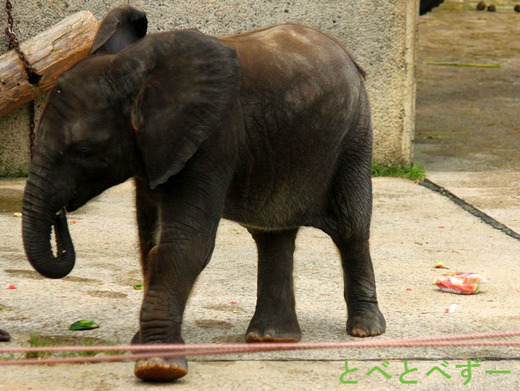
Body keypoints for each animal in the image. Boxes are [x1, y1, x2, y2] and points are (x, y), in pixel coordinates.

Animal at [21, 4, 386, 382]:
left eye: (82, 151)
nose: (62, 214)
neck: (137, 72)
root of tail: (348, 55)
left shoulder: (211, 139)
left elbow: (186, 241)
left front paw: (158, 366)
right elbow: (150, 239)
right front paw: (144, 346)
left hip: (354, 137)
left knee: (350, 228)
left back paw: (364, 330)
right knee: (273, 234)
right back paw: (271, 338)